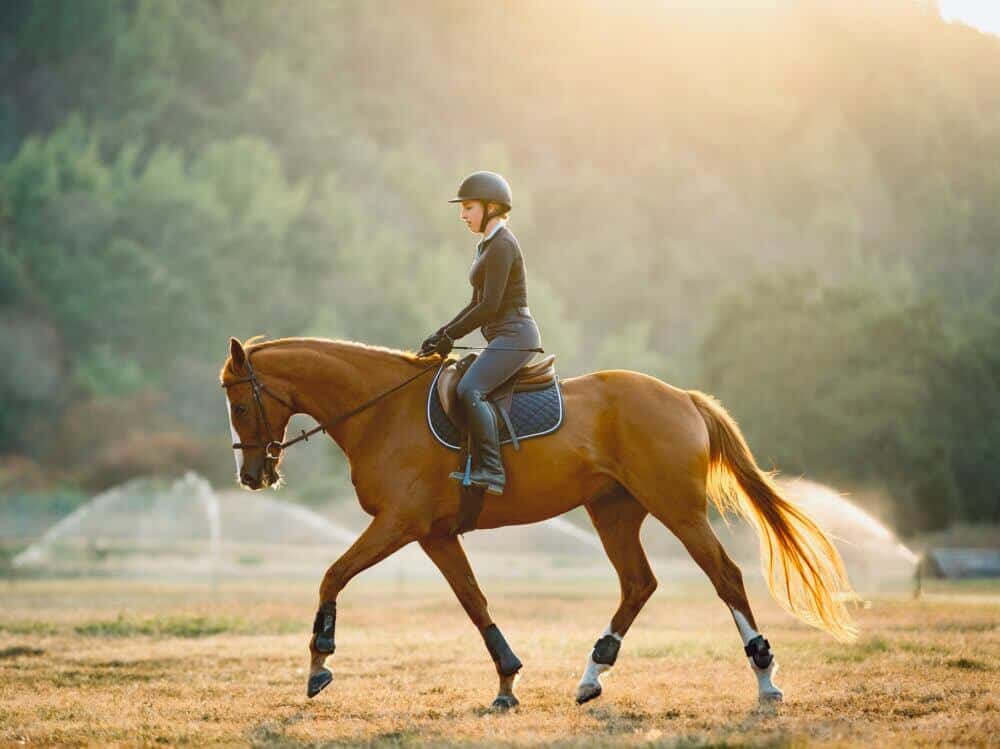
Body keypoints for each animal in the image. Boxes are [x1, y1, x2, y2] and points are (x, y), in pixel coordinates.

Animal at [220, 335, 856, 709]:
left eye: (241, 403)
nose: (252, 476)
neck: (382, 412)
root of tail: (682, 397)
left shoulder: (400, 524)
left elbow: (333, 574)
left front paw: (319, 661)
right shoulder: (434, 535)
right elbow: (474, 601)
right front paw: (507, 681)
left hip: (677, 509)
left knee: (725, 576)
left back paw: (766, 678)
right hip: (613, 511)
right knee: (638, 583)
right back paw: (592, 675)